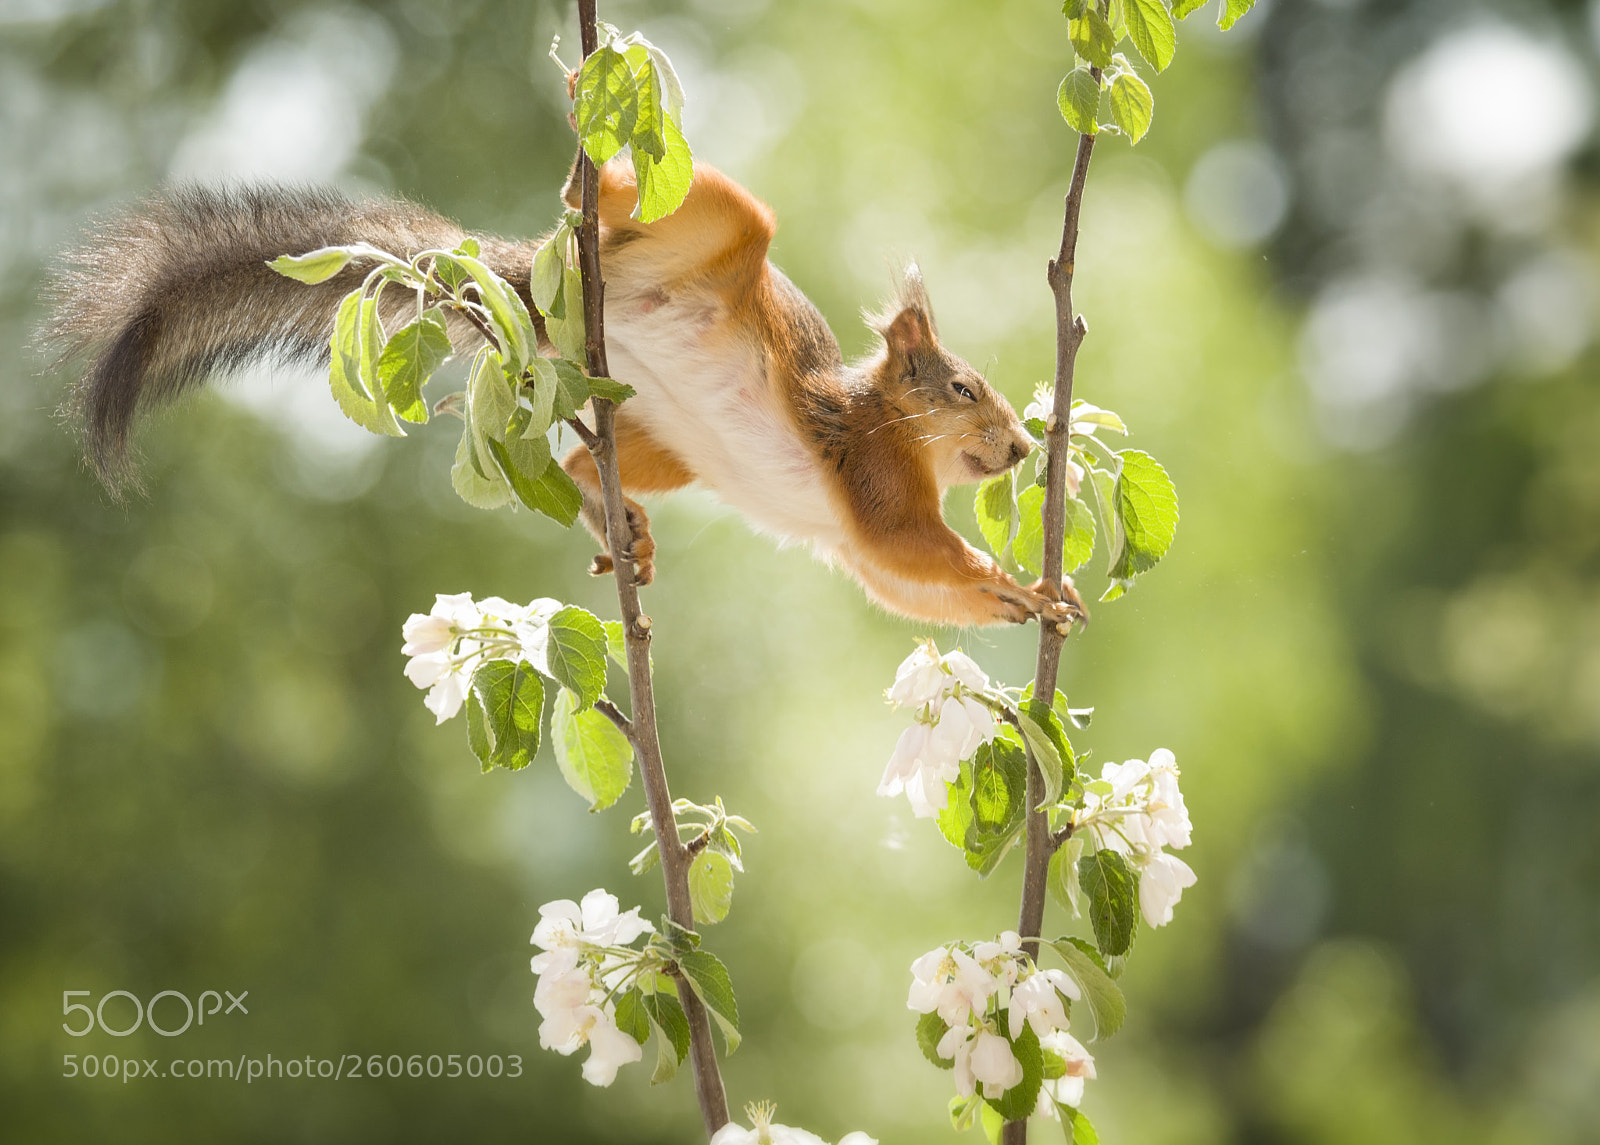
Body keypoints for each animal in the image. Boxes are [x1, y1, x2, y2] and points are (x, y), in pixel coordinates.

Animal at [46, 159, 1084, 629]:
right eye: (964, 388)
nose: (1024, 448)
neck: (897, 430)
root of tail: (577, 294)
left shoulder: (859, 543)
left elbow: (905, 581)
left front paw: (1027, 602)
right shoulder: (875, 480)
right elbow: (917, 548)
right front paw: (1024, 583)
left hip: (662, 442)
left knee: (585, 458)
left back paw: (618, 523)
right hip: (720, 229)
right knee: (671, 205)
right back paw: (588, 174)